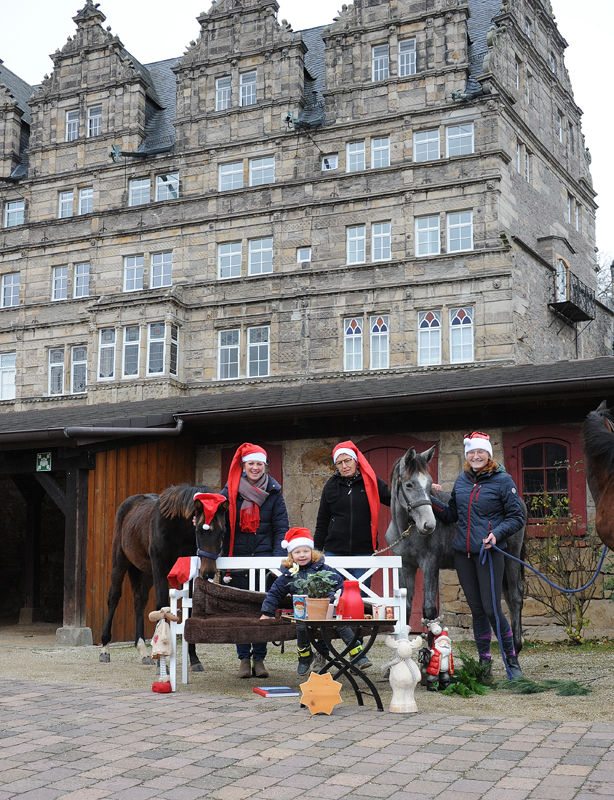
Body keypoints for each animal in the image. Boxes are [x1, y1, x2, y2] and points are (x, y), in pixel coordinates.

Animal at [100, 488, 229, 668]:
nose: (209, 572)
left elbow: (190, 608)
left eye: (222, 532)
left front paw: (194, 658)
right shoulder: (160, 568)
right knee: (114, 597)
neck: (177, 530)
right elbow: (161, 606)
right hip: (120, 562)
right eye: (198, 530)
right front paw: (162, 659)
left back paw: (143, 650)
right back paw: (105, 649)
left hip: (146, 572)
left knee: (139, 601)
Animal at [384, 444, 524, 656]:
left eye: (429, 484)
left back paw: (516, 646)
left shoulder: (430, 565)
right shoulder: (405, 567)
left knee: (515, 597)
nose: (429, 525)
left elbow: (429, 609)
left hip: (511, 559)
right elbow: (406, 606)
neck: (406, 530)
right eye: (409, 485)